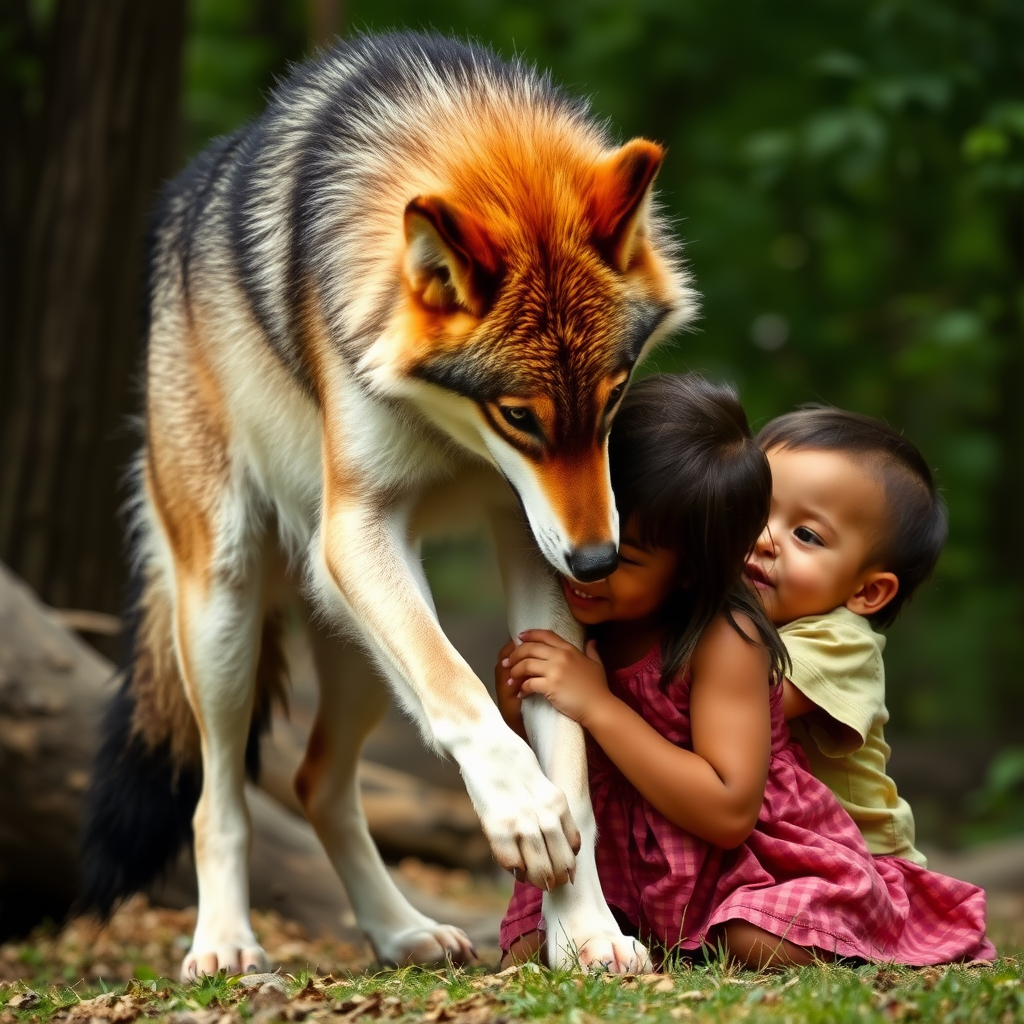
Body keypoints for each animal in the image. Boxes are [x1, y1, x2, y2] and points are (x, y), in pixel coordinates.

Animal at [77, 29, 688, 974]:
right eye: (519, 417)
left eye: (615, 397)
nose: (597, 564)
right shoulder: (357, 529)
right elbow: (462, 692)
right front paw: (522, 811)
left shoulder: (531, 540)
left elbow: (570, 763)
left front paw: (587, 932)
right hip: (229, 612)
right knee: (221, 798)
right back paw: (225, 943)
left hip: (357, 643)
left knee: (316, 784)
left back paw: (403, 931)